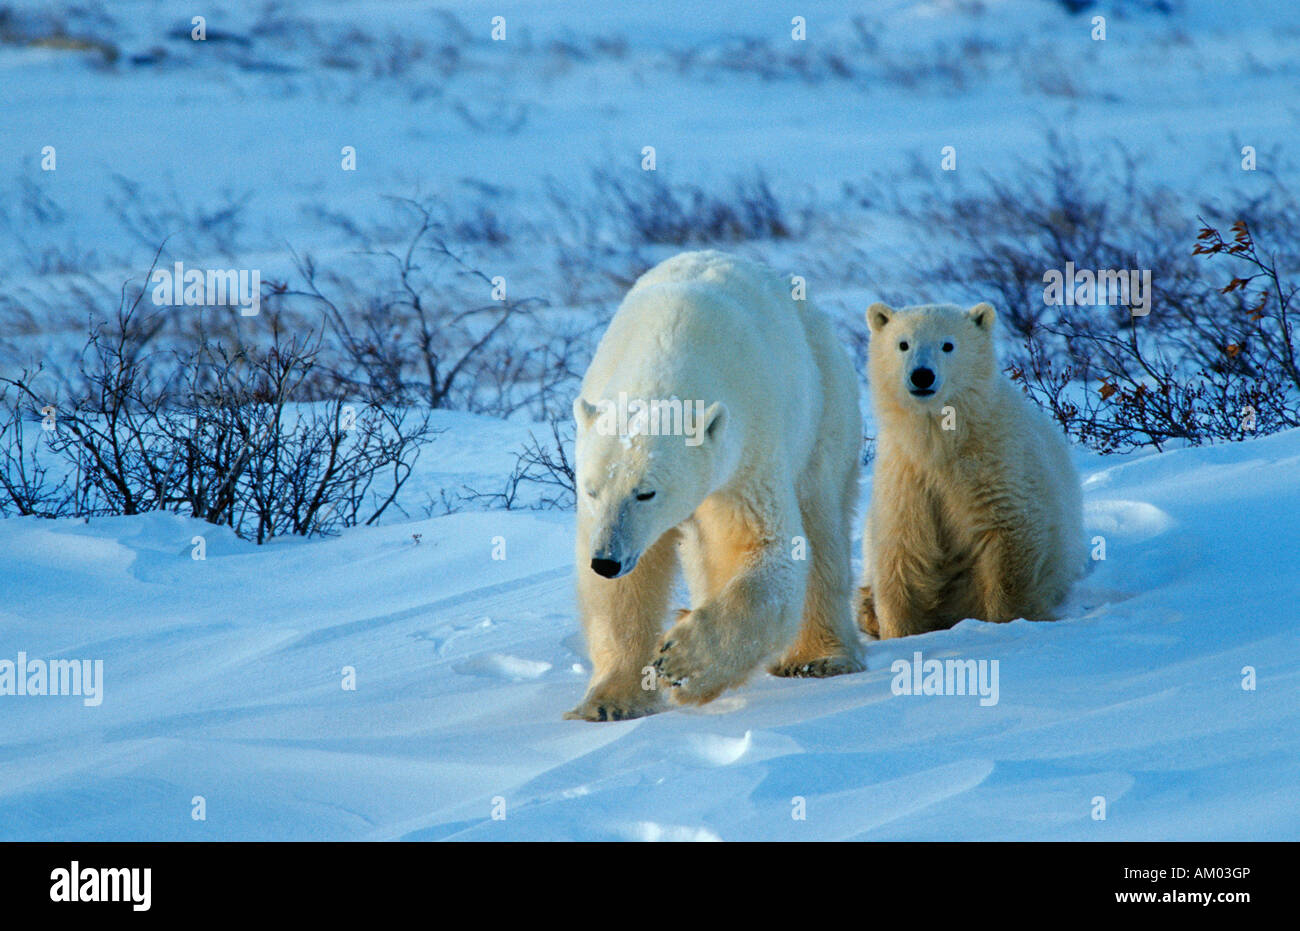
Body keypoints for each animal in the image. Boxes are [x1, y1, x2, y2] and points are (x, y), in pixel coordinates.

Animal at [566, 247, 863, 717]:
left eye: (646, 492)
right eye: (591, 490)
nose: (606, 561)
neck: (667, 348)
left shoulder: (746, 447)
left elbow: (768, 547)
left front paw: (681, 661)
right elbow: (625, 590)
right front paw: (609, 702)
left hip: (825, 405)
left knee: (822, 520)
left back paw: (818, 658)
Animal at [857, 301, 1081, 637]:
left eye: (948, 345)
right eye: (903, 344)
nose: (922, 376)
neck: (941, 440)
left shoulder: (996, 463)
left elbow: (1009, 537)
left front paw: (1010, 620)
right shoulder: (905, 475)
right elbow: (903, 550)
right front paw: (899, 633)